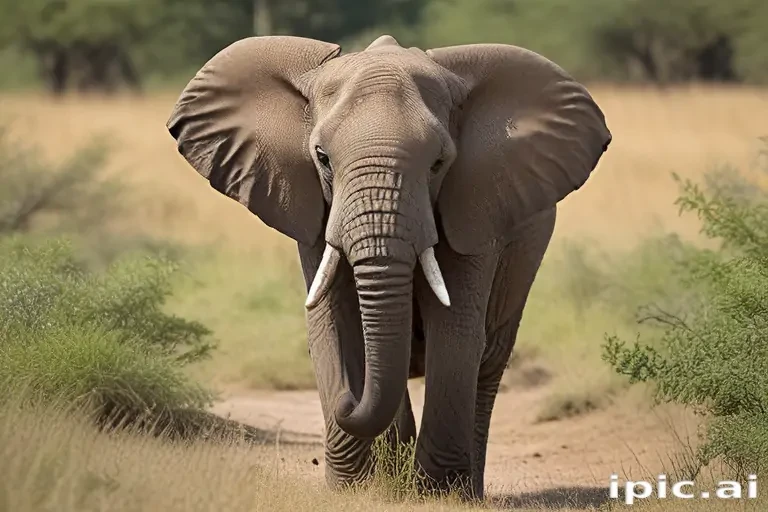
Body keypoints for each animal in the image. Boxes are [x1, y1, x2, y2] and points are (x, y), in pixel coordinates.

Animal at [166, 34, 611, 499]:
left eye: (438, 163)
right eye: (322, 157)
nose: (347, 397)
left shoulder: (474, 205)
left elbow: (456, 329)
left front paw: (438, 495)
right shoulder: (312, 211)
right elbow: (332, 322)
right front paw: (353, 490)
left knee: (488, 362)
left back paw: (466, 489)